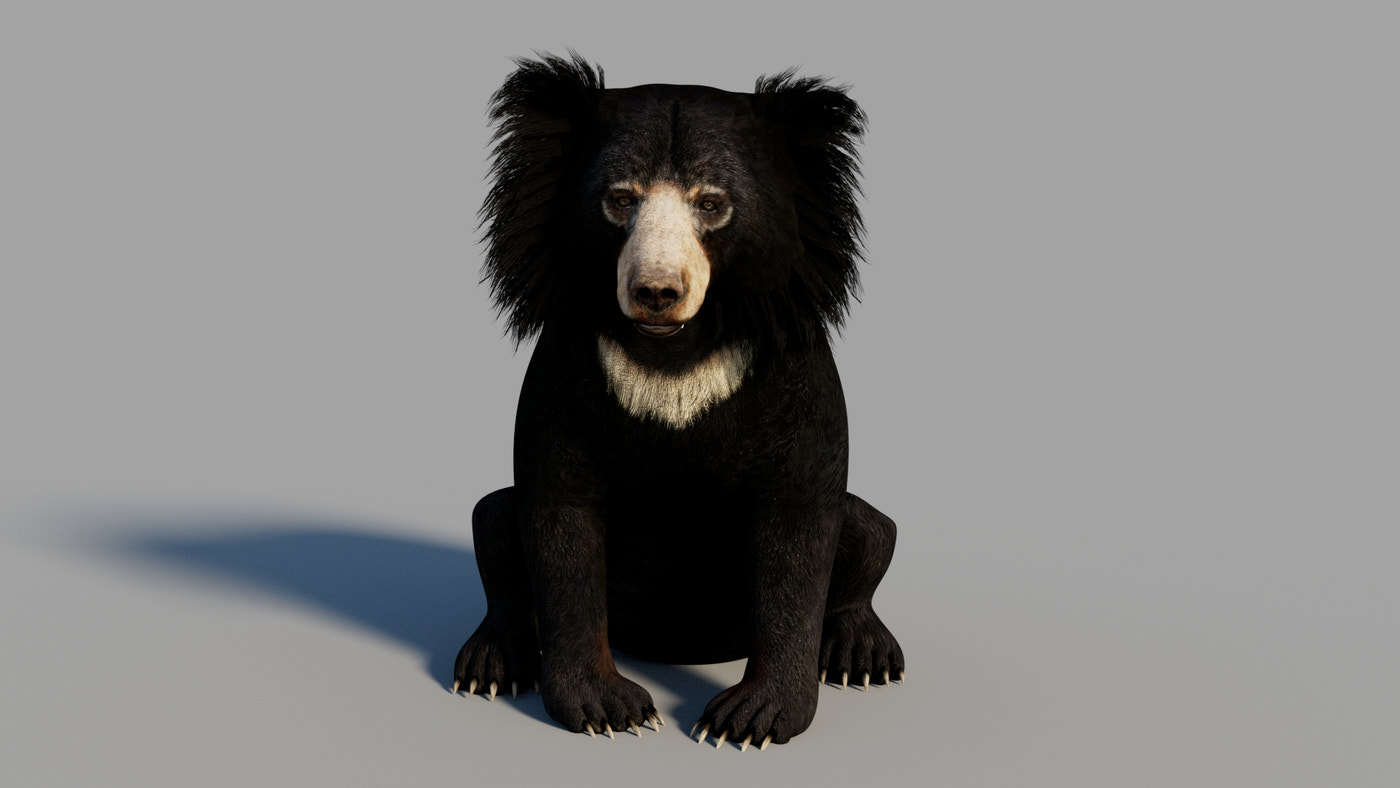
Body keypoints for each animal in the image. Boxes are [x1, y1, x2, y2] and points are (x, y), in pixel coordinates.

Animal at [453, 53, 903, 750]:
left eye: (712, 204)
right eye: (619, 199)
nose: (656, 292)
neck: (673, 352)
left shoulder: (795, 373)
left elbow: (799, 525)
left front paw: (749, 721)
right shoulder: (566, 370)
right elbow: (560, 519)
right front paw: (611, 711)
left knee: (869, 530)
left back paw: (864, 657)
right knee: (495, 521)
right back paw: (488, 664)